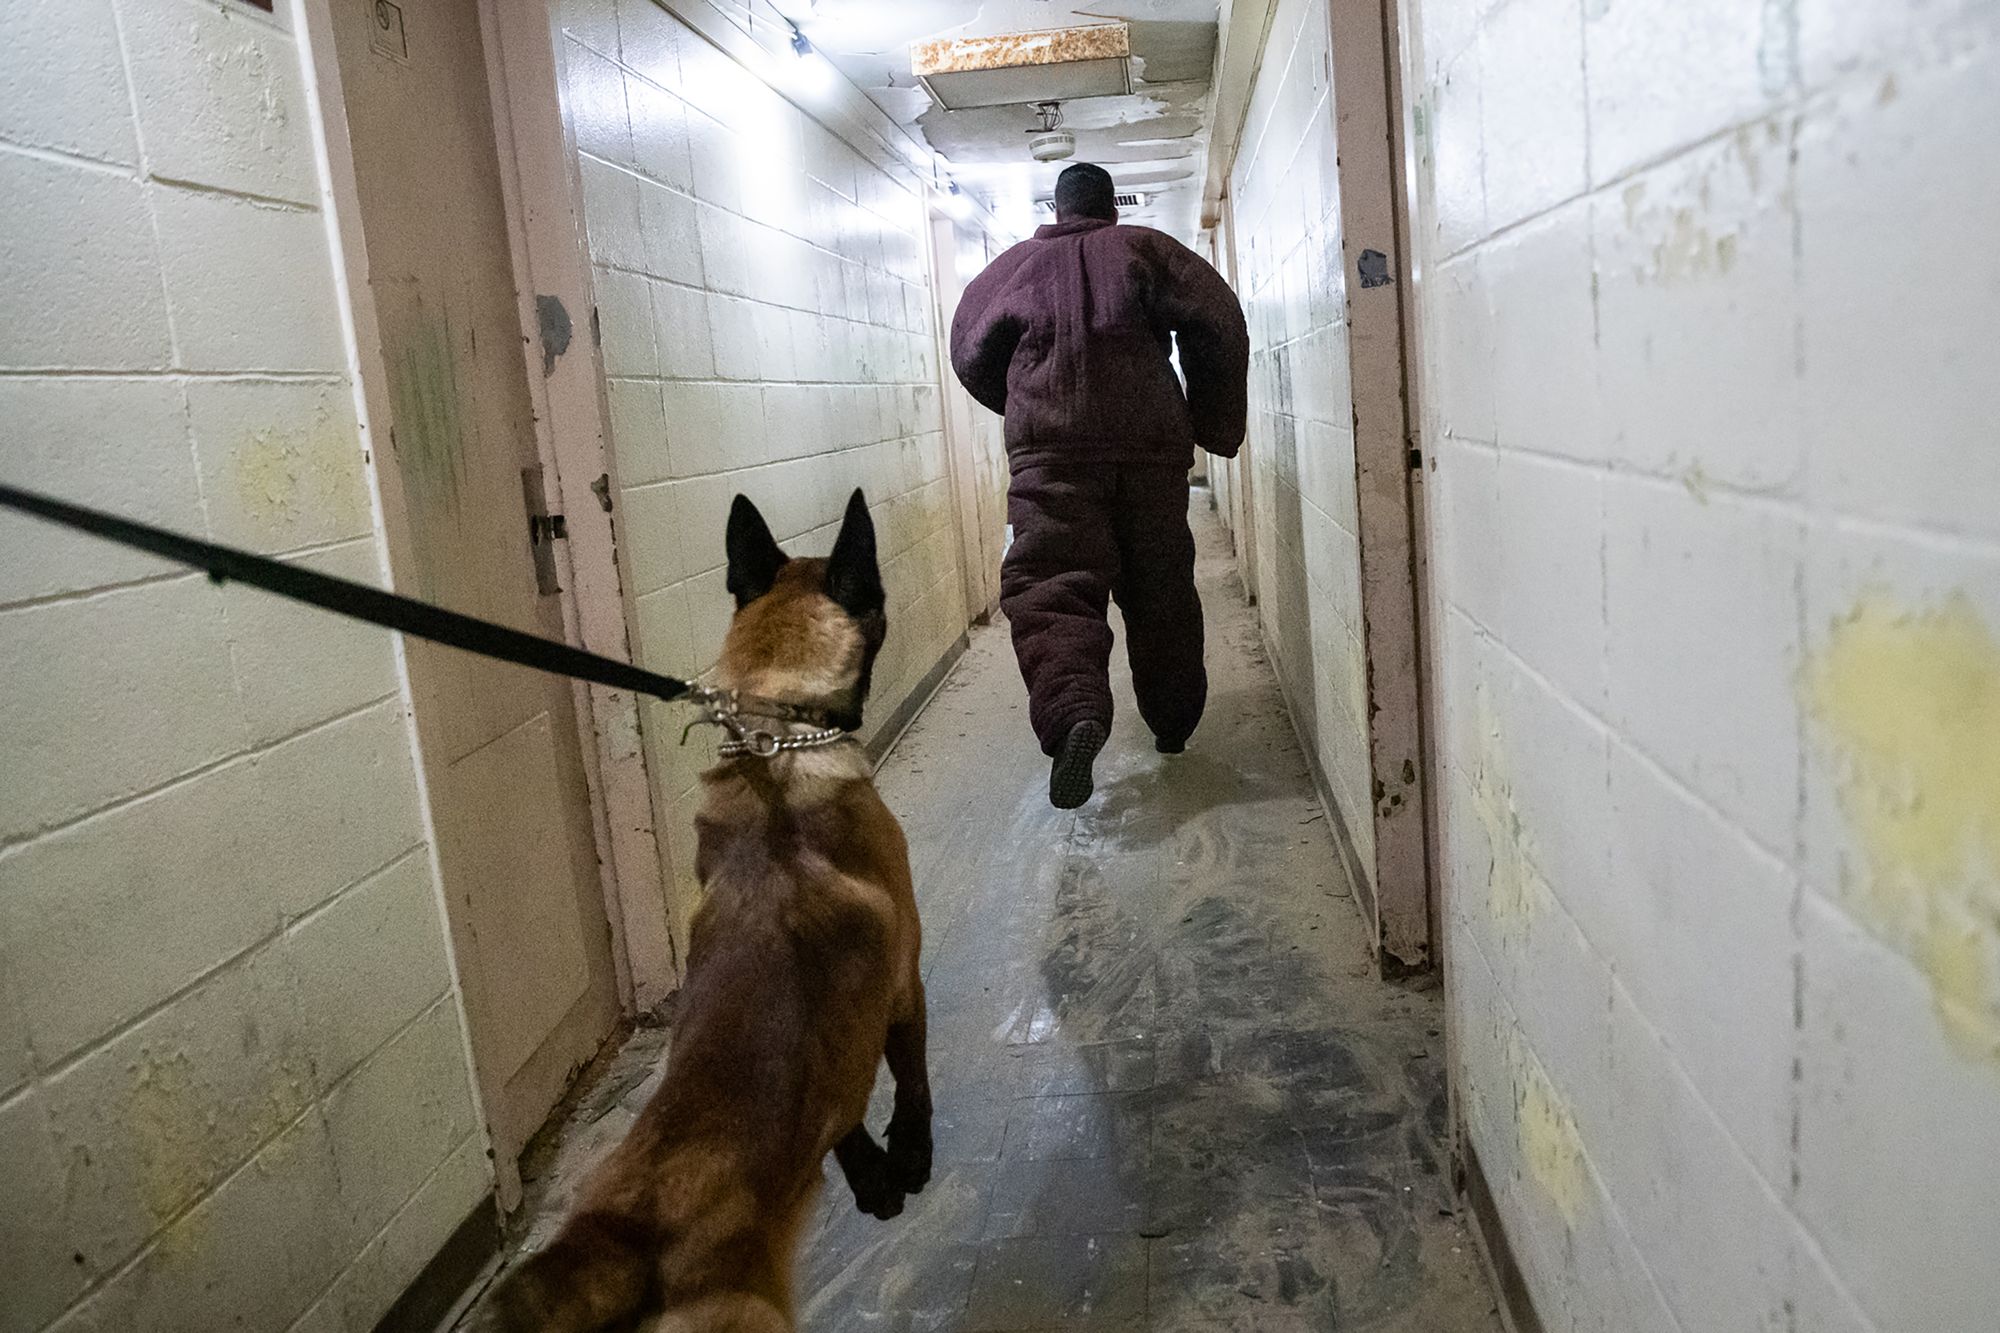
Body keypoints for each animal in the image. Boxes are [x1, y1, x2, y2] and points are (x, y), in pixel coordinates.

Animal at [472, 490, 932, 1328]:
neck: (777, 740)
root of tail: (632, 1231)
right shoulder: (905, 982)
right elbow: (911, 1083)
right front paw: (910, 1158)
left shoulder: (842, 1042)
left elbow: (844, 1113)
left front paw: (873, 1177)